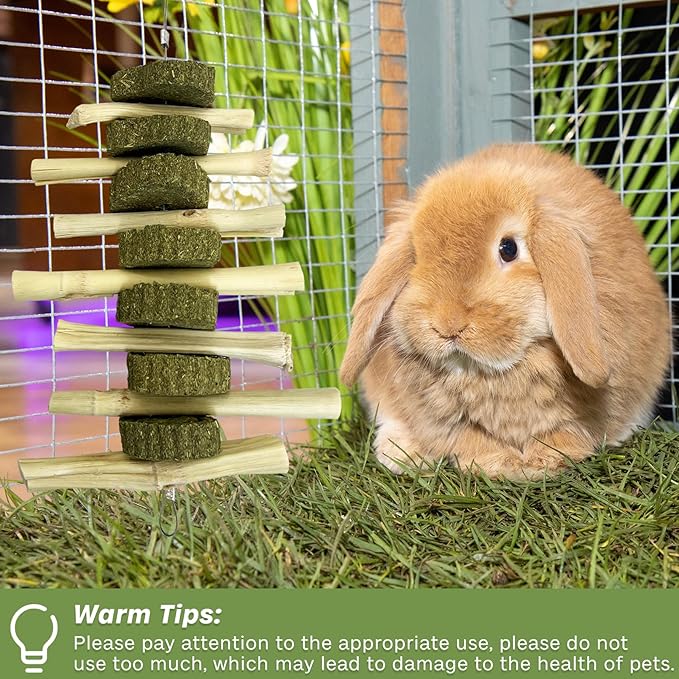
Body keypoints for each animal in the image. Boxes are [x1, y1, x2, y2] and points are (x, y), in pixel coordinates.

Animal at [340, 143, 671, 480]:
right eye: (416, 256)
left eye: (508, 248)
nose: (447, 325)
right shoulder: (448, 420)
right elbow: (471, 438)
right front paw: (499, 464)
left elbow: (563, 433)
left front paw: (540, 464)